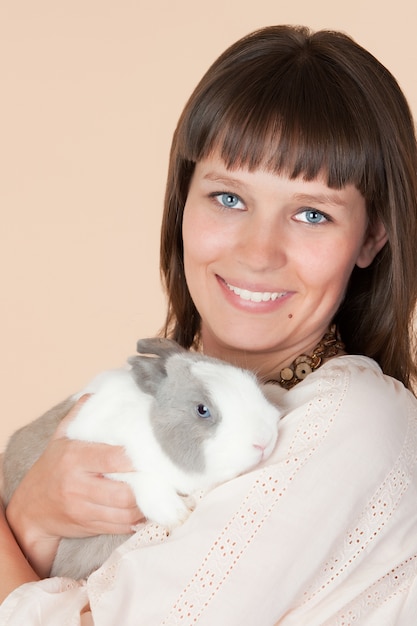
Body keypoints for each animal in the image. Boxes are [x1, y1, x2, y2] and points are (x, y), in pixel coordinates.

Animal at [2, 338, 280, 576]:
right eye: (202, 410)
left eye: (250, 380)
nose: (265, 440)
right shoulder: (94, 449)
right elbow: (138, 477)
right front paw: (176, 513)